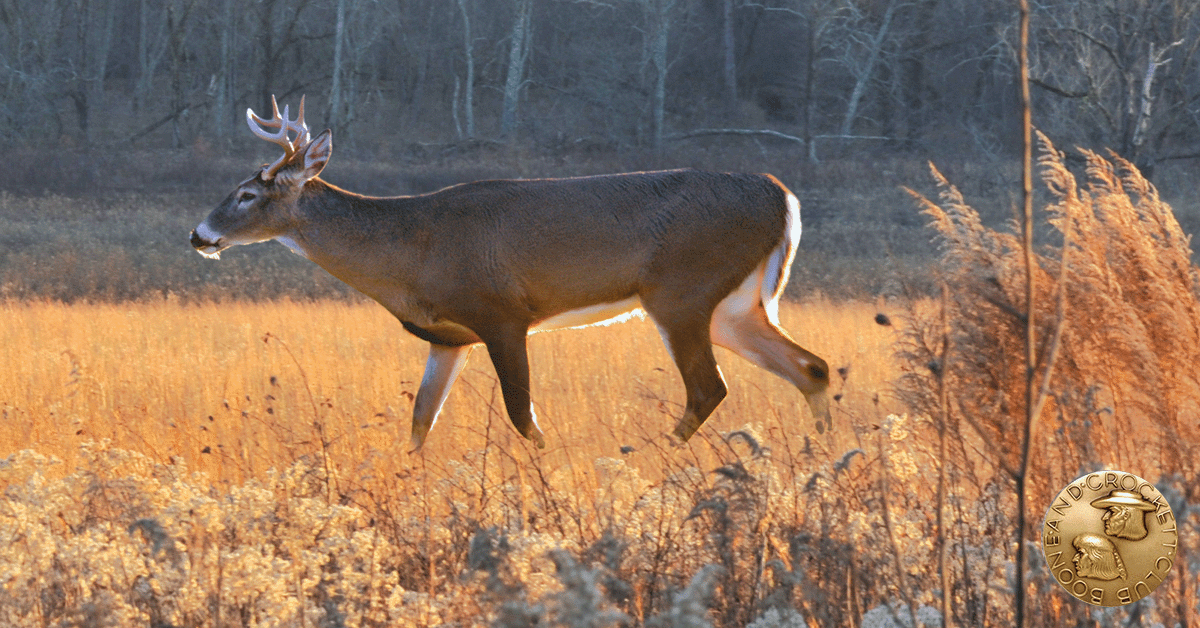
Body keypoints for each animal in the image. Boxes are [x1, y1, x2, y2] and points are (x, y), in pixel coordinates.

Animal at [190, 96, 832, 451]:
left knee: (709, 388)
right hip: (733, 307)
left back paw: (652, 459)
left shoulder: (502, 314)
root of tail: (784, 197)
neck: (411, 250)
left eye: (247, 194)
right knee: (811, 367)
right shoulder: (449, 337)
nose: (198, 235)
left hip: (681, 291)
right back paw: (822, 459)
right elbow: (420, 422)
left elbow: (524, 418)